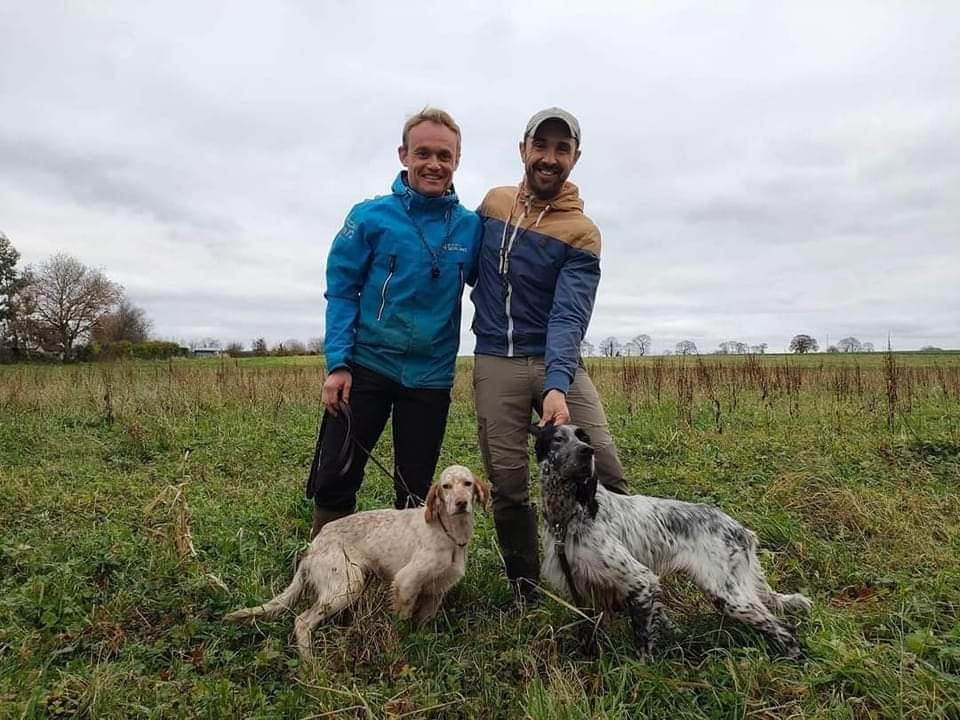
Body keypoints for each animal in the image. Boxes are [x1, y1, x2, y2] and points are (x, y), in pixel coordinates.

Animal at [532, 422, 808, 660]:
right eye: (558, 438)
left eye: (584, 438)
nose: (587, 451)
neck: (570, 514)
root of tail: (740, 529)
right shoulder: (581, 589)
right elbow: (588, 632)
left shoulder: (641, 580)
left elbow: (643, 641)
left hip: (728, 595)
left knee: (784, 627)